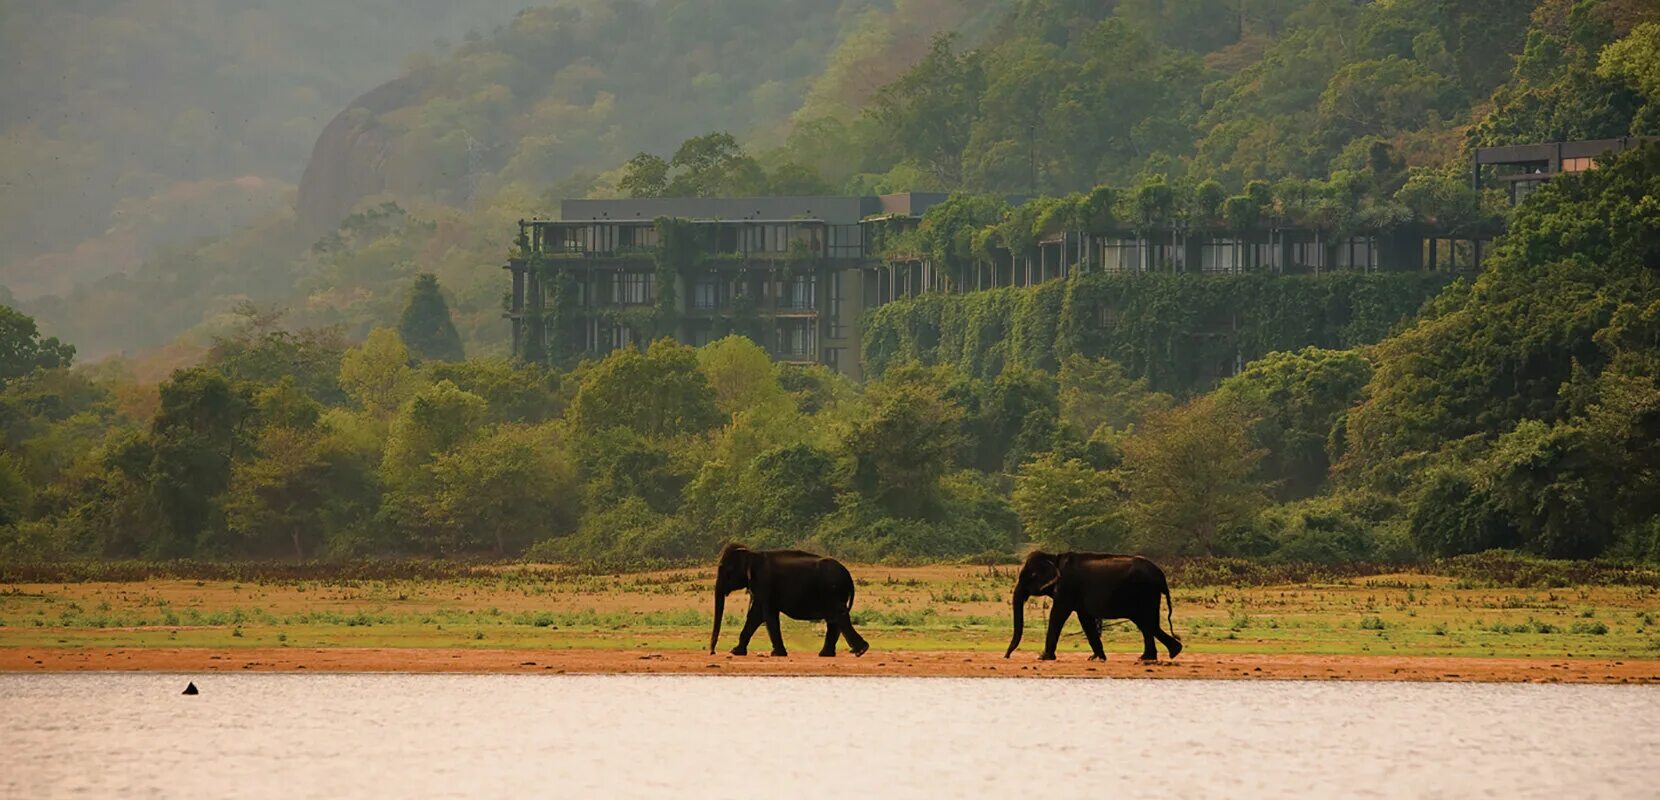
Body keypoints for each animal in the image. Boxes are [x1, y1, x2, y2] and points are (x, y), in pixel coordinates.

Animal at [710, 541, 876, 660]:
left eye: (726, 569)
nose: (712, 652)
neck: (752, 553)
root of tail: (848, 576)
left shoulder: (764, 584)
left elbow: (766, 614)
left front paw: (777, 654)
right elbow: (756, 615)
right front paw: (736, 651)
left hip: (833, 591)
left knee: (838, 615)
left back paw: (860, 651)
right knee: (834, 618)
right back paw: (826, 654)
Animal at [996, 551, 1181, 663]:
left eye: (1031, 576)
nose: (1006, 656)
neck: (1054, 558)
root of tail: (1161, 576)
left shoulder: (1067, 587)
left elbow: (1058, 614)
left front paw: (1043, 657)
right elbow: (1085, 619)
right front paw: (1096, 658)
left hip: (1146, 592)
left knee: (1147, 622)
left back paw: (1167, 653)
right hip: (1148, 593)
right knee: (1146, 623)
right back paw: (1156, 655)